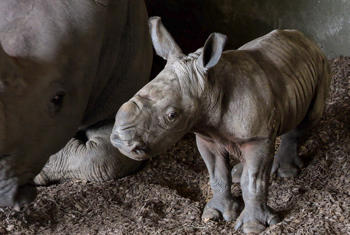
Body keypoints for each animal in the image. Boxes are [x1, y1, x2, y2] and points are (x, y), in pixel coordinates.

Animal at [111, 17, 330, 233]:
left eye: (171, 116)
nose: (120, 142)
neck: (211, 87)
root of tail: (303, 38)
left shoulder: (256, 137)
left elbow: (253, 181)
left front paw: (253, 227)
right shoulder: (207, 135)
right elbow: (218, 174)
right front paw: (215, 214)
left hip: (320, 64)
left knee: (308, 118)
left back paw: (285, 173)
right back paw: (239, 172)